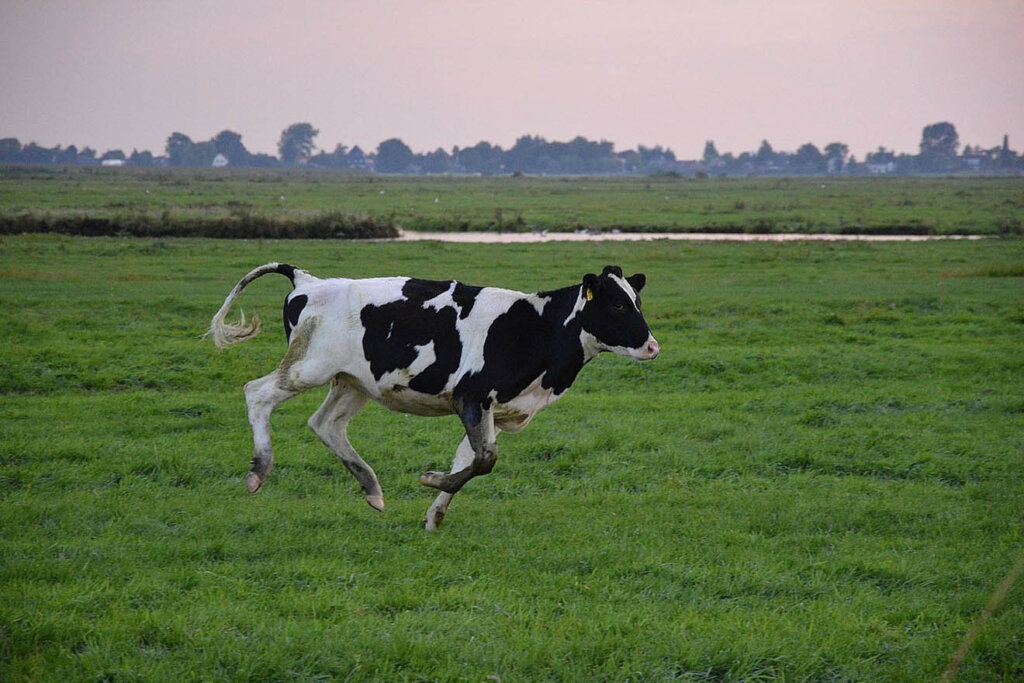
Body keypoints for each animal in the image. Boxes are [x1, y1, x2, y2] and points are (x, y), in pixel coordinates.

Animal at [207, 263, 659, 530]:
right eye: (617, 306)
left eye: (637, 301)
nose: (653, 346)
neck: (536, 327)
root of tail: (308, 281)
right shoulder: (471, 396)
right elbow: (485, 460)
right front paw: (430, 479)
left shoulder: (493, 409)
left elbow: (471, 459)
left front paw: (435, 514)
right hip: (308, 367)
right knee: (257, 393)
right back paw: (259, 470)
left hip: (353, 382)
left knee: (325, 424)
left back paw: (371, 488)